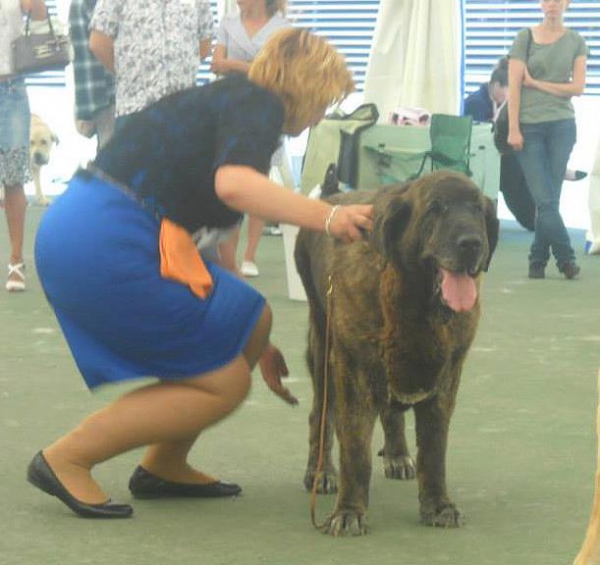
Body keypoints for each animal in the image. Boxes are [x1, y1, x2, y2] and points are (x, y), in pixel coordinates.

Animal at [294, 170, 496, 536]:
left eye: (477, 209)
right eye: (436, 208)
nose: (472, 243)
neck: (417, 307)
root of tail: (330, 198)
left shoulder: (447, 377)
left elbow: (434, 451)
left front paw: (439, 505)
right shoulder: (353, 372)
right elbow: (355, 452)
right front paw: (349, 511)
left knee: (391, 413)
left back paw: (398, 455)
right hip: (322, 349)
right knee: (321, 415)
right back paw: (321, 472)